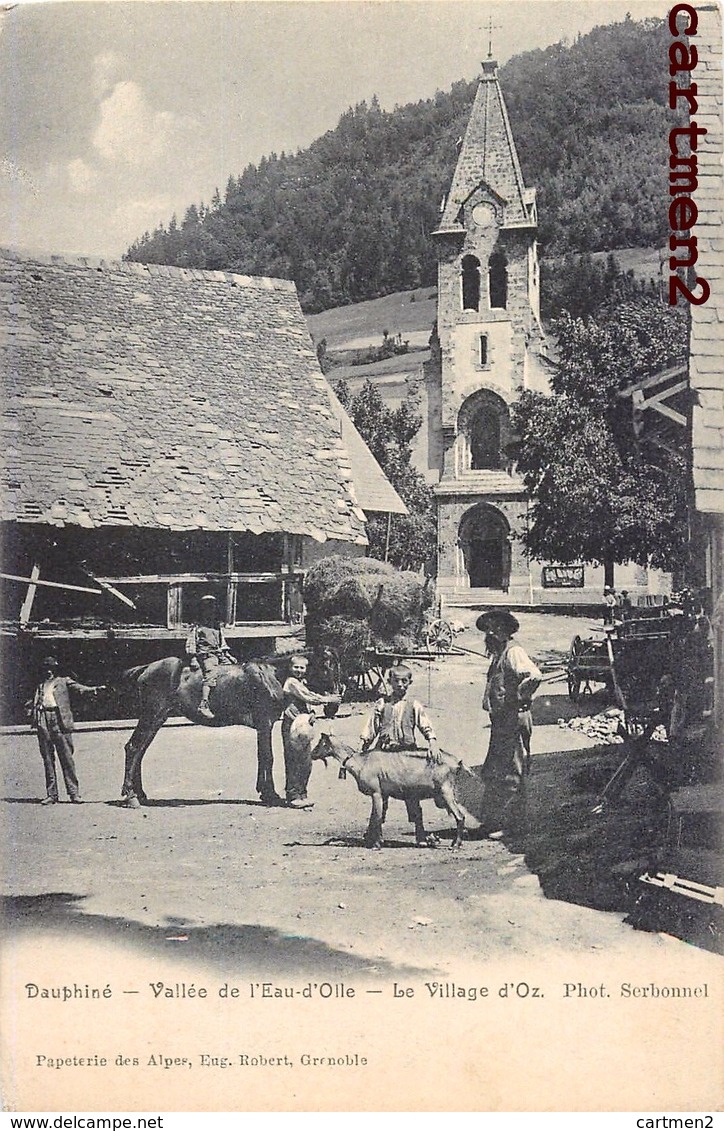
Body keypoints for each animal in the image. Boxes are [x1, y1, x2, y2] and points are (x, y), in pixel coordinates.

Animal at [114, 660, 283, 809]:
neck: (269, 675)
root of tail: (146, 668)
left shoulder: (263, 726)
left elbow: (262, 756)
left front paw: (264, 792)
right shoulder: (265, 723)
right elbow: (268, 757)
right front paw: (271, 794)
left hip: (157, 719)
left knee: (140, 752)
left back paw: (140, 794)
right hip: (151, 715)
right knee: (133, 748)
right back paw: (131, 797)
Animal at [312, 732, 470, 850]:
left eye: (320, 743)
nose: (312, 754)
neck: (361, 762)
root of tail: (457, 762)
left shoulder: (376, 793)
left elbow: (376, 818)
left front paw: (376, 844)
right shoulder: (382, 795)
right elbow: (375, 817)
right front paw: (372, 841)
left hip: (446, 792)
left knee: (460, 816)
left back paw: (455, 845)